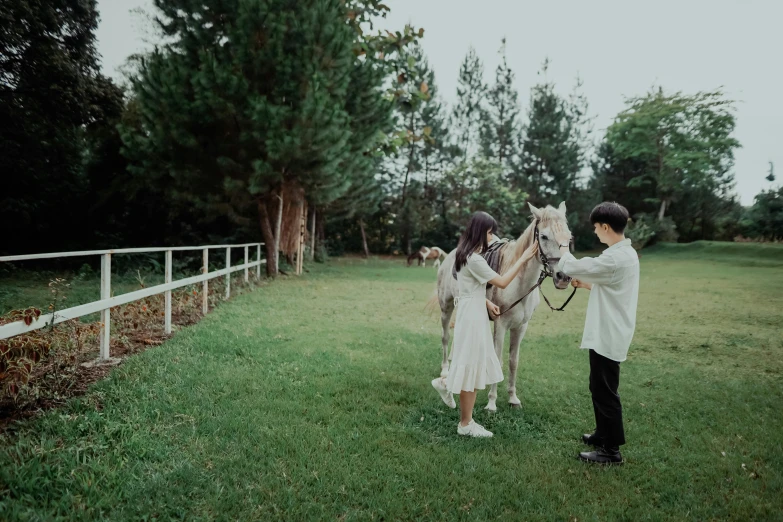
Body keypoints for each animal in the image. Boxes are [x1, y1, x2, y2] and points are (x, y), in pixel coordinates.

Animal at [432, 201, 572, 408]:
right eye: (544, 236)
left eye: (569, 237)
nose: (564, 277)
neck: (520, 284)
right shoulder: (501, 324)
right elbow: (498, 359)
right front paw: (492, 402)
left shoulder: (521, 327)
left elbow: (513, 361)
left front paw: (513, 398)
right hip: (446, 307)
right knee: (445, 337)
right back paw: (445, 369)